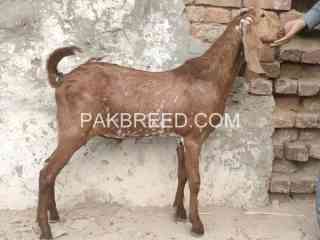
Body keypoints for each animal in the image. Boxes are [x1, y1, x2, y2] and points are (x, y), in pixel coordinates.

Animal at [37, 8, 282, 238]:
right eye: (262, 15)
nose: (281, 32)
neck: (210, 77)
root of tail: (61, 79)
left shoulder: (180, 137)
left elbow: (182, 175)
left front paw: (179, 213)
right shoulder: (194, 137)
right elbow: (195, 180)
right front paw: (197, 225)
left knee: (50, 167)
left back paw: (54, 216)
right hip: (74, 130)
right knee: (46, 172)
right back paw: (45, 229)